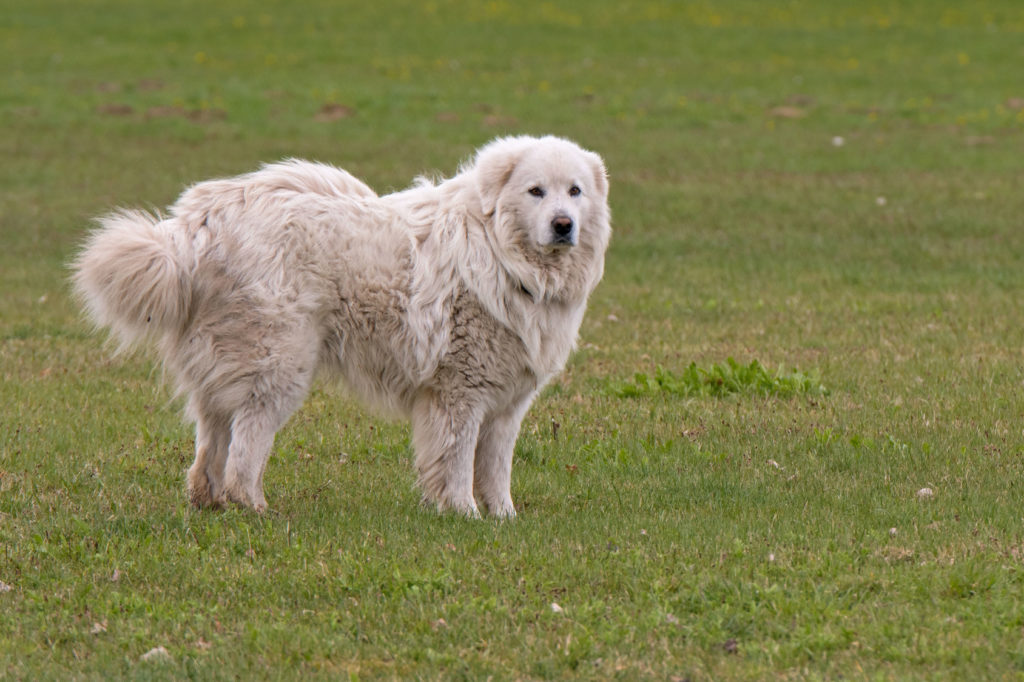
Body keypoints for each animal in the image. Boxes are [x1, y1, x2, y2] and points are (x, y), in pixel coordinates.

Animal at [77, 134, 614, 516]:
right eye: (535, 191)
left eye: (574, 192)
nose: (563, 224)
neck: (501, 253)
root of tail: (199, 223)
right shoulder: (460, 394)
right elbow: (458, 462)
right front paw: (464, 514)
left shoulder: (505, 404)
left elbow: (496, 468)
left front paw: (503, 518)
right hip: (279, 367)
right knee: (246, 445)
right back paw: (253, 506)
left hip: (230, 363)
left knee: (213, 441)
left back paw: (209, 502)